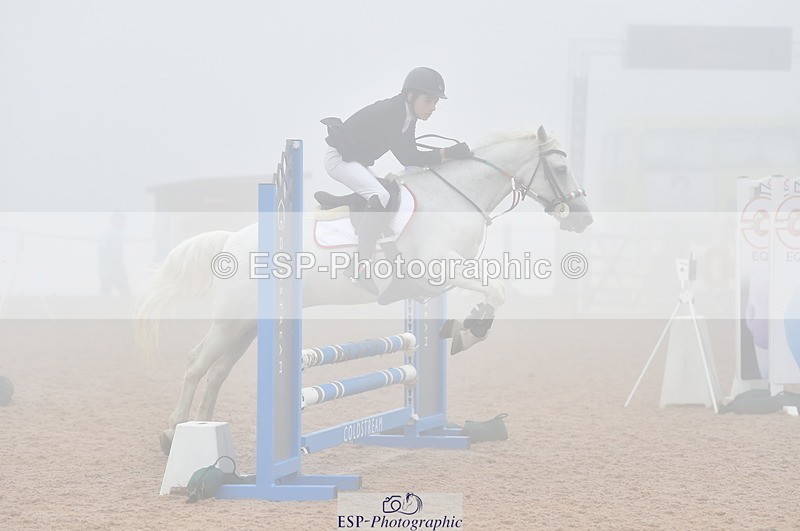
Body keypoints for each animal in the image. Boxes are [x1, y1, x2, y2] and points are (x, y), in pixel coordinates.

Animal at [135, 126, 593, 454]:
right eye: (561, 168)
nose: (583, 218)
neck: (453, 198)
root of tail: (230, 240)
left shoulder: (438, 279)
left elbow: (490, 290)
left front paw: (460, 329)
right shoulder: (437, 269)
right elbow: (495, 290)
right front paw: (469, 332)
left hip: (249, 327)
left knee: (216, 373)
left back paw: (202, 429)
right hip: (232, 321)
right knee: (196, 364)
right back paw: (173, 435)